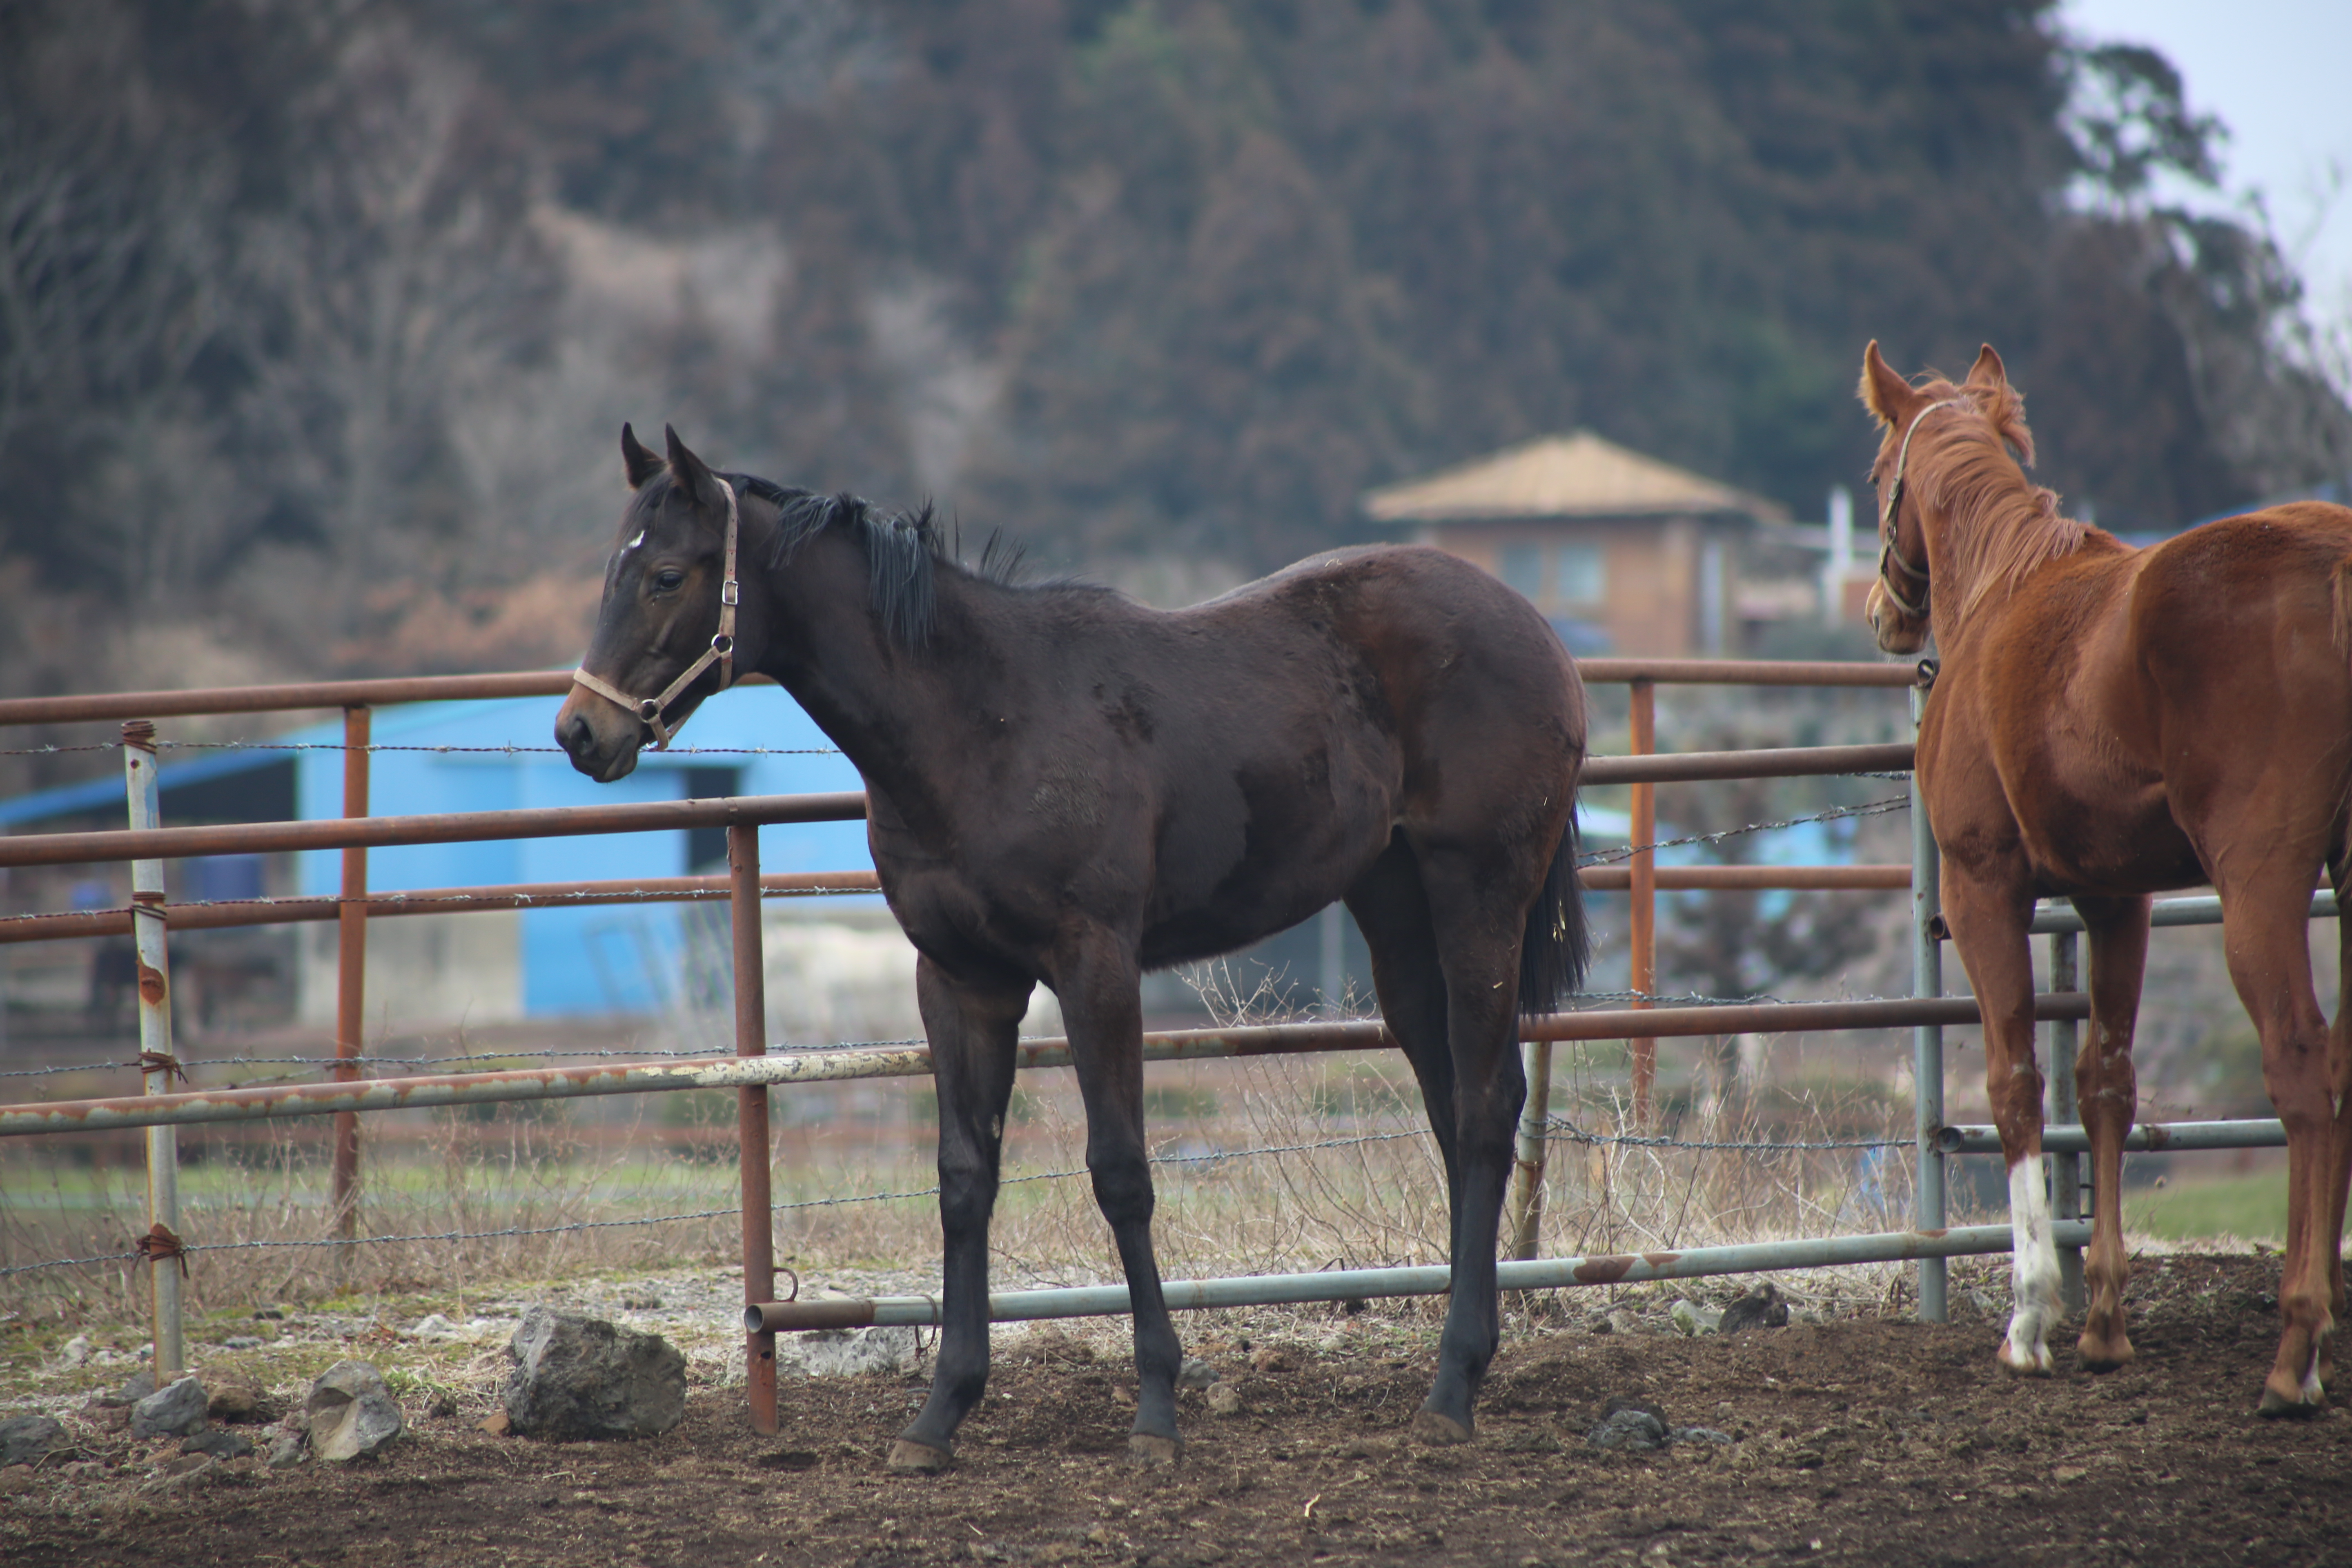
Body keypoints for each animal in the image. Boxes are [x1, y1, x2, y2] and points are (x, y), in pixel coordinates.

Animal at [552, 425, 1590, 1457]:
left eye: (668, 576)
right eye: (611, 571)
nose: (580, 730)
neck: (980, 721)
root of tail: (1533, 627)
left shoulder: (1095, 967)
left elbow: (1120, 1171)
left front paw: (1156, 1408)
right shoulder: (960, 979)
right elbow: (964, 1177)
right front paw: (940, 1412)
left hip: (1478, 894)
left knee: (1486, 1106)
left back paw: (1452, 1384)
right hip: (1396, 911)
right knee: (1452, 1108)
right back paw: (1460, 1363)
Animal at [1862, 343, 2352, 1420]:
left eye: (1879, 474)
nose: (1882, 610)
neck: (2004, 592)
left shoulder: (1980, 889)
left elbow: (2014, 1084)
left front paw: (2030, 1318)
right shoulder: (2113, 901)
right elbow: (2105, 1086)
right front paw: (2102, 1322)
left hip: (2260, 887)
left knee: (2302, 1069)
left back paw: (2296, 1348)